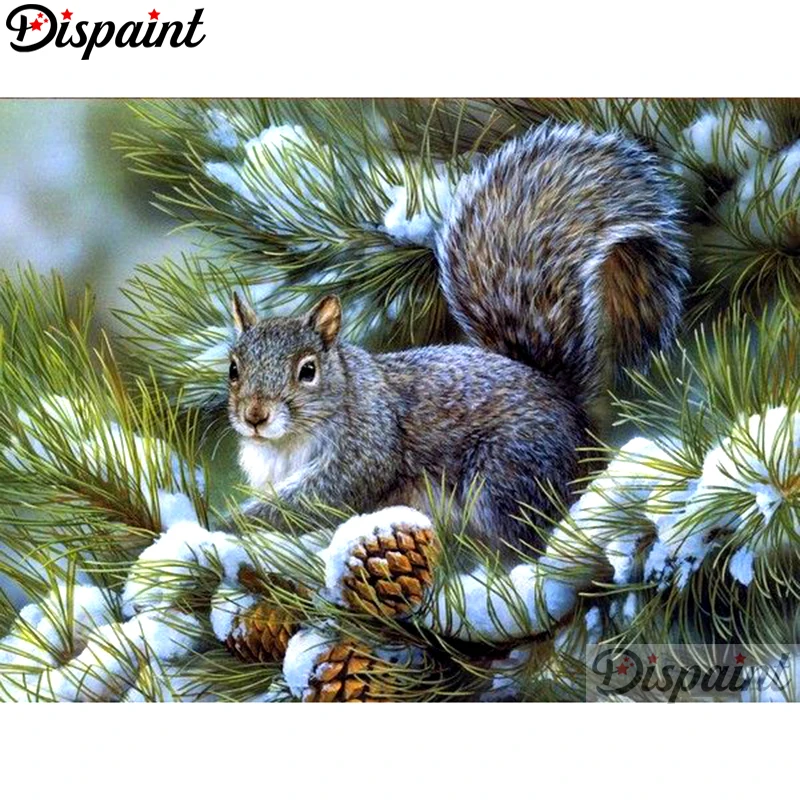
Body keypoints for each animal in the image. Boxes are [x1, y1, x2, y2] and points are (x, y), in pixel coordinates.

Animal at [227, 123, 689, 549]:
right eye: (233, 368)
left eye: (308, 370)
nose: (255, 416)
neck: (286, 442)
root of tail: (572, 414)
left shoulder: (367, 446)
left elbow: (322, 497)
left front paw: (237, 522)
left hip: (508, 472)